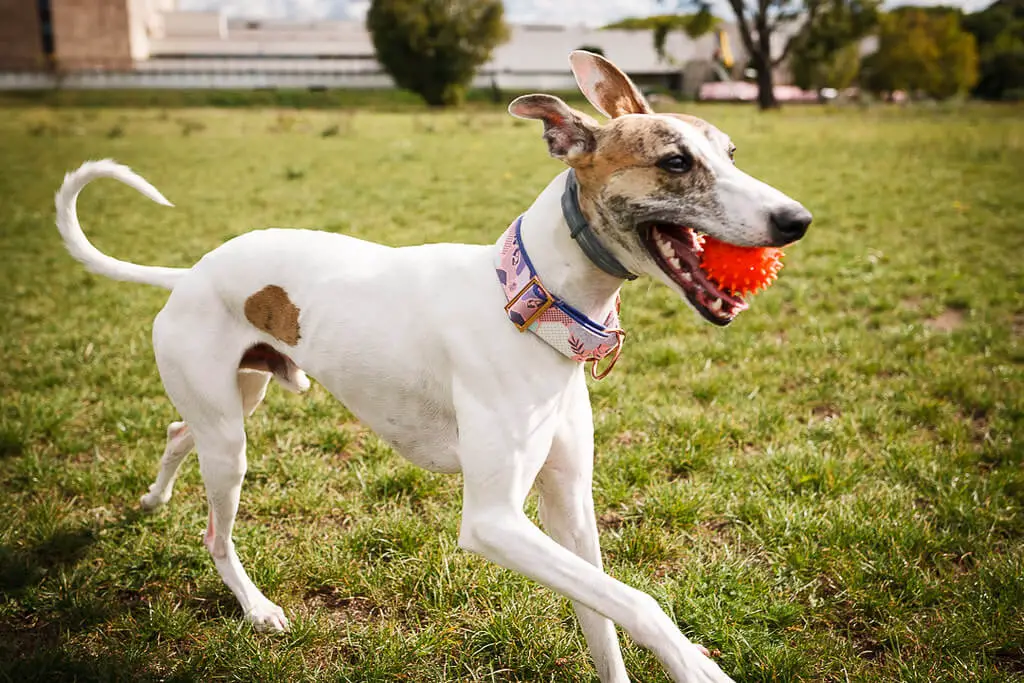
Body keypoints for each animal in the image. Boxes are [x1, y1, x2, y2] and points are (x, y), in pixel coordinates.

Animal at [54, 53, 806, 683]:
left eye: (731, 152)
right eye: (676, 162)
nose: (796, 219)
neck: (529, 300)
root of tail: (187, 274)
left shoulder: (569, 506)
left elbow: (605, 619)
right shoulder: (495, 522)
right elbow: (639, 602)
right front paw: (696, 664)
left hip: (238, 399)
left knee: (178, 431)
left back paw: (152, 500)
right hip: (231, 442)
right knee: (215, 529)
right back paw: (256, 605)